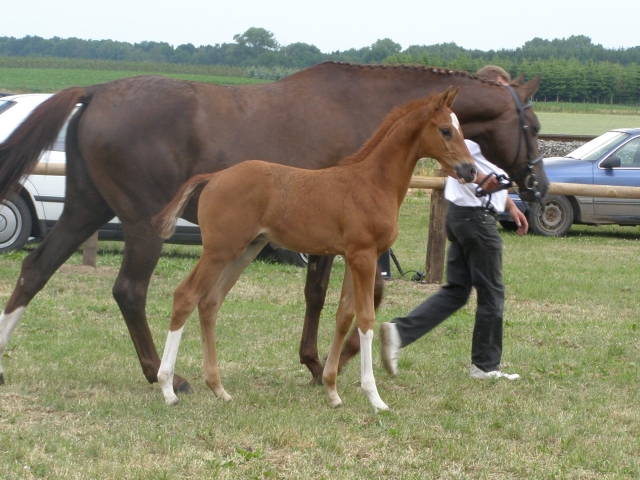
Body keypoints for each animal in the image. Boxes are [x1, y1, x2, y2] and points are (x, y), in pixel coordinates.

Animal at [152, 88, 478, 410]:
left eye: (461, 129)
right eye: (446, 130)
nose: (471, 170)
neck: (373, 182)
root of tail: (214, 177)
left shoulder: (354, 256)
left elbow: (344, 315)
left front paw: (332, 390)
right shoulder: (363, 256)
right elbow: (366, 318)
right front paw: (374, 396)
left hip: (245, 251)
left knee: (210, 302)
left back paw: (219, 389)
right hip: (219, 250)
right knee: (186, 295)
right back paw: (168, 388)